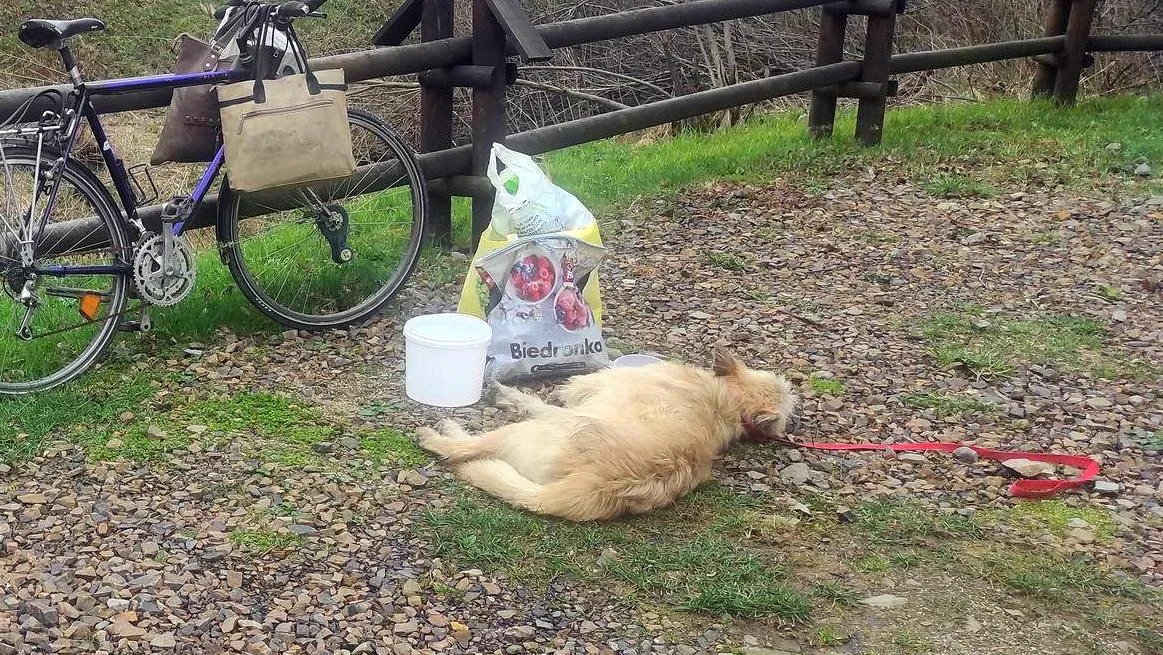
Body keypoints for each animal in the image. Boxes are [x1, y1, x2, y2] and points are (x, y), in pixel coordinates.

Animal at [414, 349, 795, 523]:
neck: (728, 403)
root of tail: (599, 482)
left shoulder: (583, 395)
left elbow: (541, 402)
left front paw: (509, 395)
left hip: (524, 433)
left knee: (464, 450)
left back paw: (440, 435)